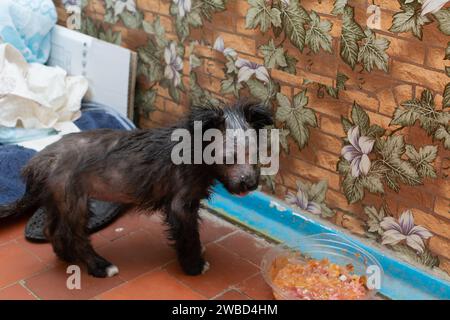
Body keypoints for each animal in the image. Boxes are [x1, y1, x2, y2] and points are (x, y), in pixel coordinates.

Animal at [0, 100, 272, 278]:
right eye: (228, 158)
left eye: (256, 154)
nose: (250, 184)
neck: (194, 150)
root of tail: (39, 161)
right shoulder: (180, 204)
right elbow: (187, 235)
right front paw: (194, 265)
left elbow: (193, 231)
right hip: (73, 201)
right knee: (74, 236)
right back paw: (99, 267)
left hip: (58, 200)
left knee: (53, 229)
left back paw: (66, 256)